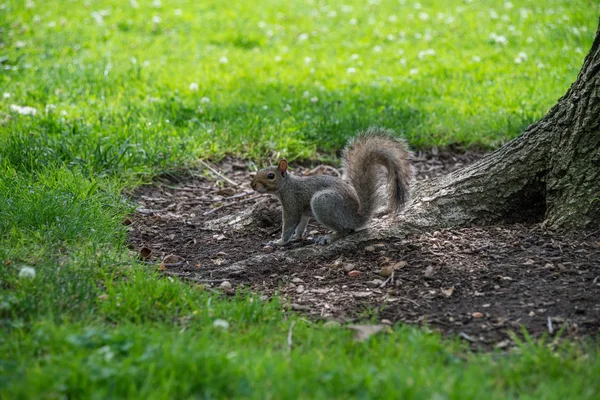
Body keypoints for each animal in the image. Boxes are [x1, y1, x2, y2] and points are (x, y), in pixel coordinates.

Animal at [251, 126, 414, 245]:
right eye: (258, 170)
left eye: (270, 176)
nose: (252, 185)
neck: (287, 186)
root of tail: (356, 218)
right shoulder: (303, 213)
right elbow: (301, 225)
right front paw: (297, 237)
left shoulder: (292, 204)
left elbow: (290, 224)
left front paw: (279, 242)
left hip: (323, 202)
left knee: (345, 230)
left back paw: (329, 237)